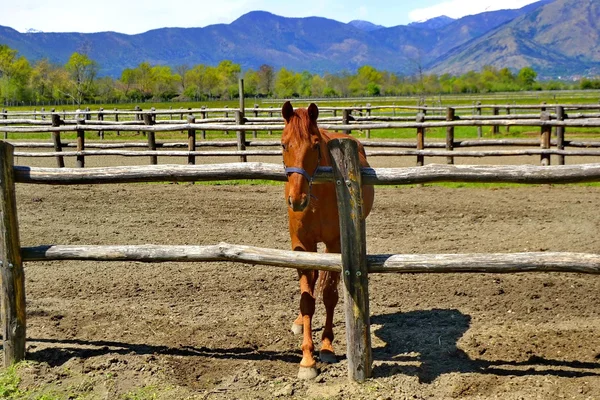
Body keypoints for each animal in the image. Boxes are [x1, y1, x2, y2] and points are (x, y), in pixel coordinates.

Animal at [282, 101, 376, 380]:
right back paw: (298, 322)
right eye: (283, 144)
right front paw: (306, 359)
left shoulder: (335, 244)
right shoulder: (302, 246)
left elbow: (330, 295)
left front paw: (325, 348)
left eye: (315, 145)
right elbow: (306, 299)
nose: (297, 199)